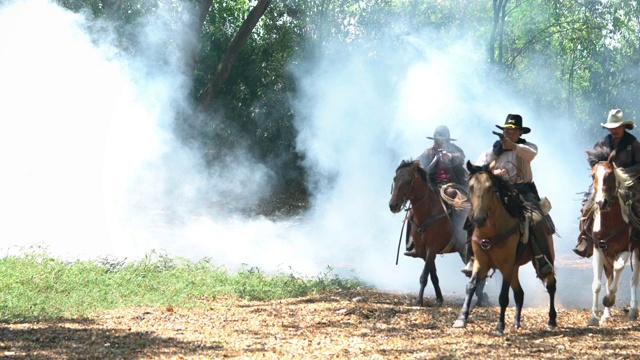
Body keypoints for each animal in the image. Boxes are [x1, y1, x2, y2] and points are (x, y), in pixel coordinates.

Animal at [388, 160, 488, 306]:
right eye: (395, 179)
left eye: (408, 180)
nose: (393, 205)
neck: (428, 212)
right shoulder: (424, 251)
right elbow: (433, 275)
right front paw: (439, 298)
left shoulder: (432, 248)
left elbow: (424, 275)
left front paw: (419, 301)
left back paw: (480, 298)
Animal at [450, 160, 556, 334]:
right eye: (471, 187)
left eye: (490, 188)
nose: (478, 219)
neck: (491, 232)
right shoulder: (481, 263)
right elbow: (471, 286)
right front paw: (461, 318)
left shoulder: (505, 266)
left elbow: (503, 297)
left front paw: (499, 326)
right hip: (514, 268)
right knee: (519, 294)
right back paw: (516, 323)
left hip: (547, 257)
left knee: (551, 285)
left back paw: (552, 320)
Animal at [584, 146, 640, 326]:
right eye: (593, 175)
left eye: (610, 174)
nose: (602, 203)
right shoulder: (598, 249)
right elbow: (597, 284)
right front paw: (594, 317)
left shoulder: (626, 249)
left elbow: (619, 269)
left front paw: (609, 299)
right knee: (609, 278)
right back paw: (606, 315)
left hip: (637, 251)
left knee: (633, 279)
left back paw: (632, 311)